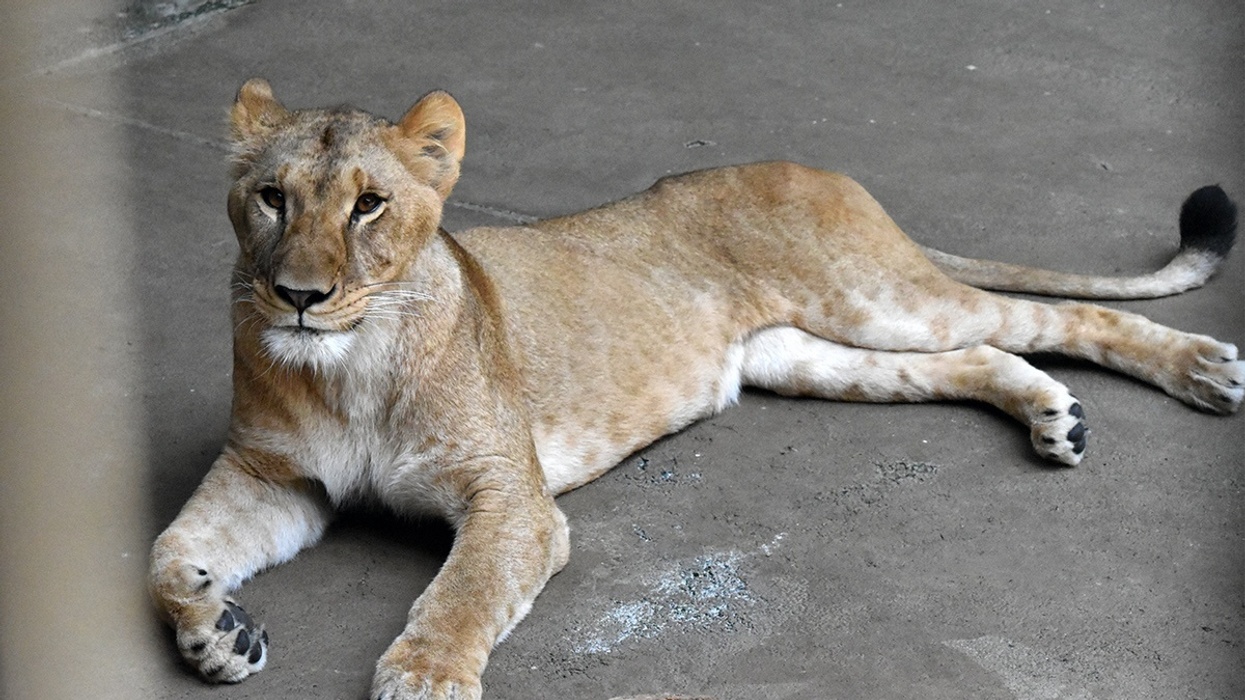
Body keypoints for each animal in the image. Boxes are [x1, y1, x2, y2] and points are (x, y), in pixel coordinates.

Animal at [149, 79, 1242, 700]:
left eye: (369, 205)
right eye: (271, 198)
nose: (298, 296)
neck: (349, 364)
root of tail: (814, 167)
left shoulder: (512, 496)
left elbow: (463, 592)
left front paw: (424, 678)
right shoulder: (275, 477)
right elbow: (166, 556)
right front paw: (217, 631)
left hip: (878, 299)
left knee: (1052, 317)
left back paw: (1202, 370)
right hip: (807, 355)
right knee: (973, 358)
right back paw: (1054, 415)